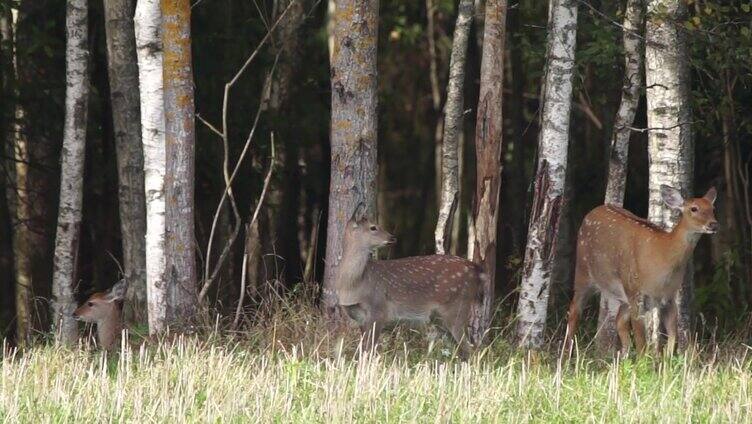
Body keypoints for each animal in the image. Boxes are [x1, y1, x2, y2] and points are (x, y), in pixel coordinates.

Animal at [330, 214, 488, 356]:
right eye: (373, 227)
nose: (392, 237)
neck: (353, 285)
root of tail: (476, 269)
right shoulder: (360, 318)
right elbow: (363, 349)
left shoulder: (379, 309)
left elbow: (370, 350)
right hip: (440, 317)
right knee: (463, 349)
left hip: (457, 306)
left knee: (470, 349)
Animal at [564, 184, 716, 356]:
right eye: (694, 208)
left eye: (712, 208)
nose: (713, 224)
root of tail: (592, 211)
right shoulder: (636, 292)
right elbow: (641, 341)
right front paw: (643, 361)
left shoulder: (669, 297)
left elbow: (672, 337)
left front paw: (666, 359)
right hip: (584, 271)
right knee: (574, 311)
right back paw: (566, 356)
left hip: (621, 292)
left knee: (619, 321)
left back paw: (623, 356)